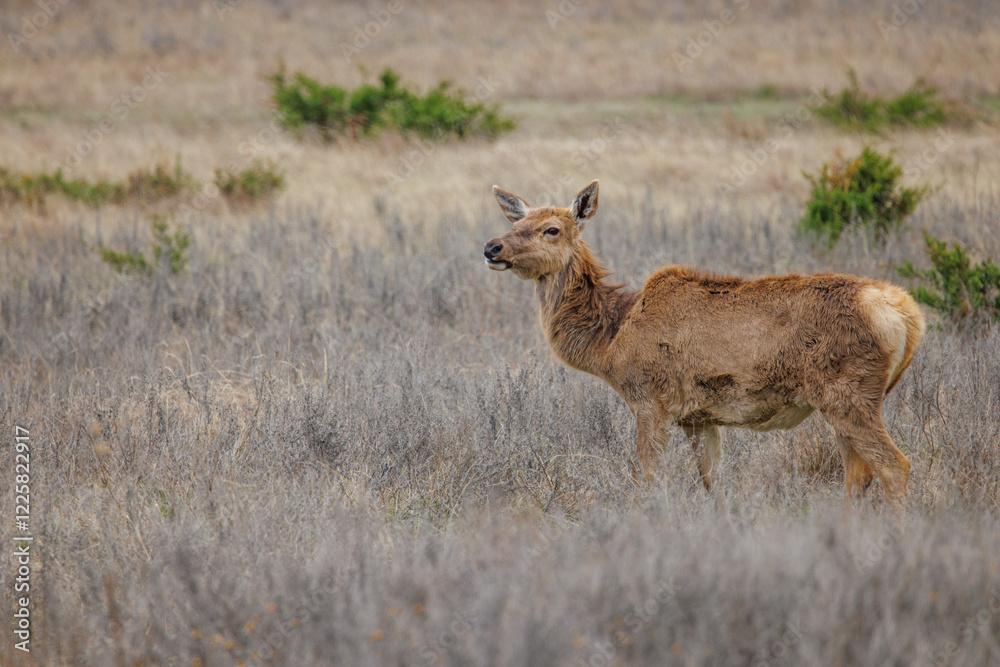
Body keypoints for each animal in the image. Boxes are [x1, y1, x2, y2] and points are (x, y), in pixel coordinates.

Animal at [483, 180, 924, 511]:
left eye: (551, 229)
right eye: (517, 222)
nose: (492, 247)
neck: (611, 341)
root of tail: (907, 316)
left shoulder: (649, 399)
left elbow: (647, 480)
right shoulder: (699, 416)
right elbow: (713, 482)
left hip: (847, 390)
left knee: (895, 466)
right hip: (849, 398)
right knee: (858, 476)